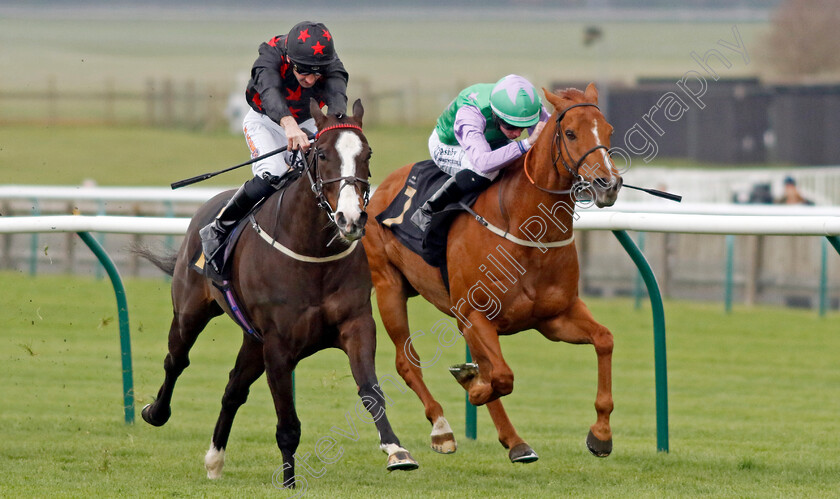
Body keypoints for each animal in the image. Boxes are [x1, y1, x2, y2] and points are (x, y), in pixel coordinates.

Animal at [139, 98, 420, 488]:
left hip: (252, 340)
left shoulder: (356, 324)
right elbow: (287, 424)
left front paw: (396, 450)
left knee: (233, 390)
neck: (313, 254)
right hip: (190, 312)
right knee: (176, 360)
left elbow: (371, 391)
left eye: (367, 153)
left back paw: (215, 460)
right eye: (321, 153)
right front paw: (288, 482)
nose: (350, 219)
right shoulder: (278, 345)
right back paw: (156, 412)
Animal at [364, 84, 620, 462]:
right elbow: (501, 376)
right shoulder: (472, 316)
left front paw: (601, 433)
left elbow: (604, 339)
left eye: (609, 130)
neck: (530, 234)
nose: (609, 184)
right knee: (406, 362)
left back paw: (513, 440)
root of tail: (381, 187)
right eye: (571, 133)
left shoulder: (555, 317)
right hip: (389, 286)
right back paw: (443, 428)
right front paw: (472, 387)